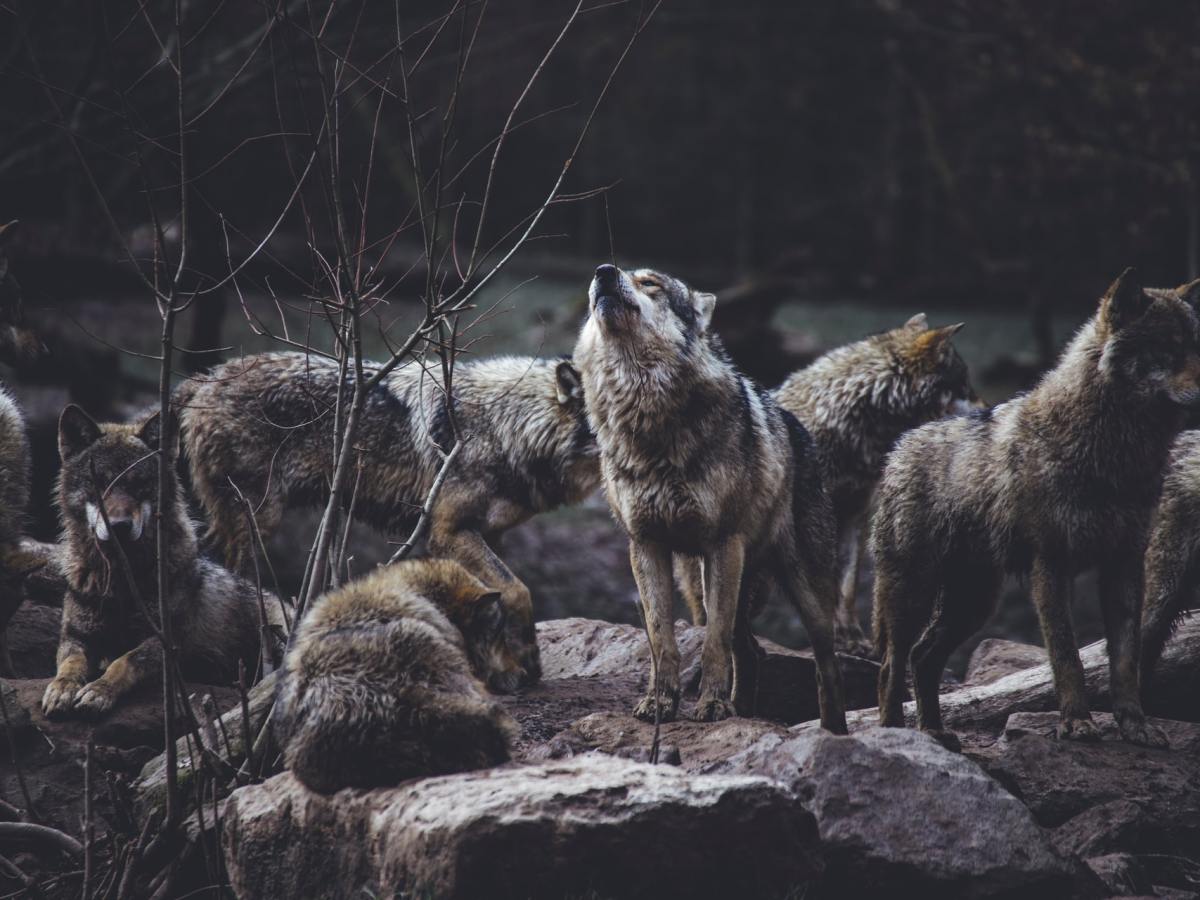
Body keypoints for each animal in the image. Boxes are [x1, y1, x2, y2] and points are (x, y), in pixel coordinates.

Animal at [41, 405, 288, 717]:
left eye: (139, 484)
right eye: (100, 483)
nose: (119, 526)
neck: (122, 580)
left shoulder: (166, 643)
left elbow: (123, 662)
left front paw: (99, 691)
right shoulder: (75, 637)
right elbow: (70, 663)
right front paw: (61, 688)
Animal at [174, 352, 598, 690]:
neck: (506, 426)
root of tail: (204, 378)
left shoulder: (489, 534)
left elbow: (498, 599)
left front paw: (510, 667)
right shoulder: (448, 531)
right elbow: (518, 590)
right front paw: (527, 661)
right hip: (256, 522)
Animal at [574, 263, 847, 730]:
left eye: (651, 283)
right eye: (612, 273)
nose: (604, 272)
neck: (646, 416)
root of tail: (799, 428)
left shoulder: (722, 543)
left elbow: (713, 642)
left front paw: (714, 706)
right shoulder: (645, 545)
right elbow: (661, 639)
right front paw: (660, 703)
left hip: (802, 592)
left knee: (825, 666)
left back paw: (833, 732)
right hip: (707, 580)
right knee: (752, 651)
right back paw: (746, 711)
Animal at [873, 270, 1200, 749]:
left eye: (1196, 348)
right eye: (1168, 349)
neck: (1113, 454)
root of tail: (900, 445)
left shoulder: (1124, 565)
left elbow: (1125, 660)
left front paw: (1135, 726)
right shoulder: (1051, 565)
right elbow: (1067, 656)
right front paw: (1077, 723)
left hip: (973, 603)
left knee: (923, 657)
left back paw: (934, 731)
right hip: (913, 594)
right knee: (891, 665)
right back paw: (897, 733)